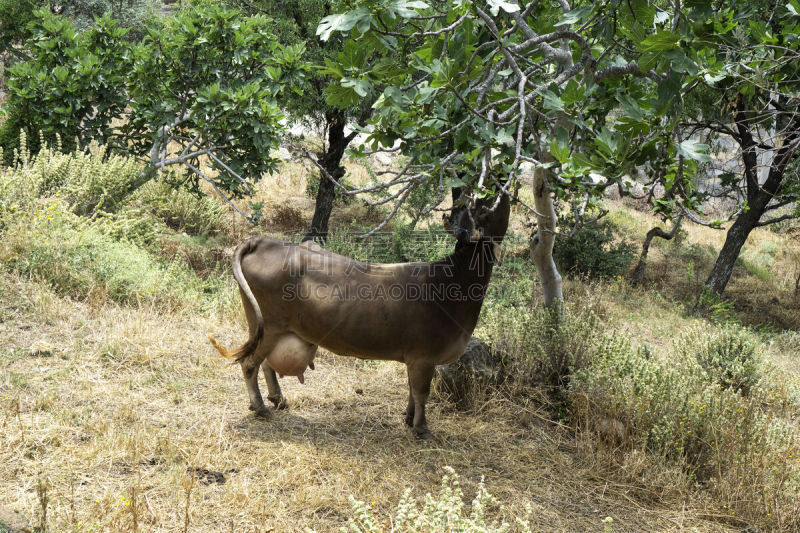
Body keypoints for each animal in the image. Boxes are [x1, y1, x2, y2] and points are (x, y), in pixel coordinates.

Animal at [206, 191, 506, 436]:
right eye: (484, 209)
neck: (452, 283)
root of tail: (267, 241)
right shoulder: (424, 357)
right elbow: (422, 392)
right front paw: (422, 429)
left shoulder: (416, 358)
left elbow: (412, 390)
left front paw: (409, 419)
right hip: (269, 325)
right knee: (249, 364)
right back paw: (260, 407)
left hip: (271, 328)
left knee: (265, 363)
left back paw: (278, 399)